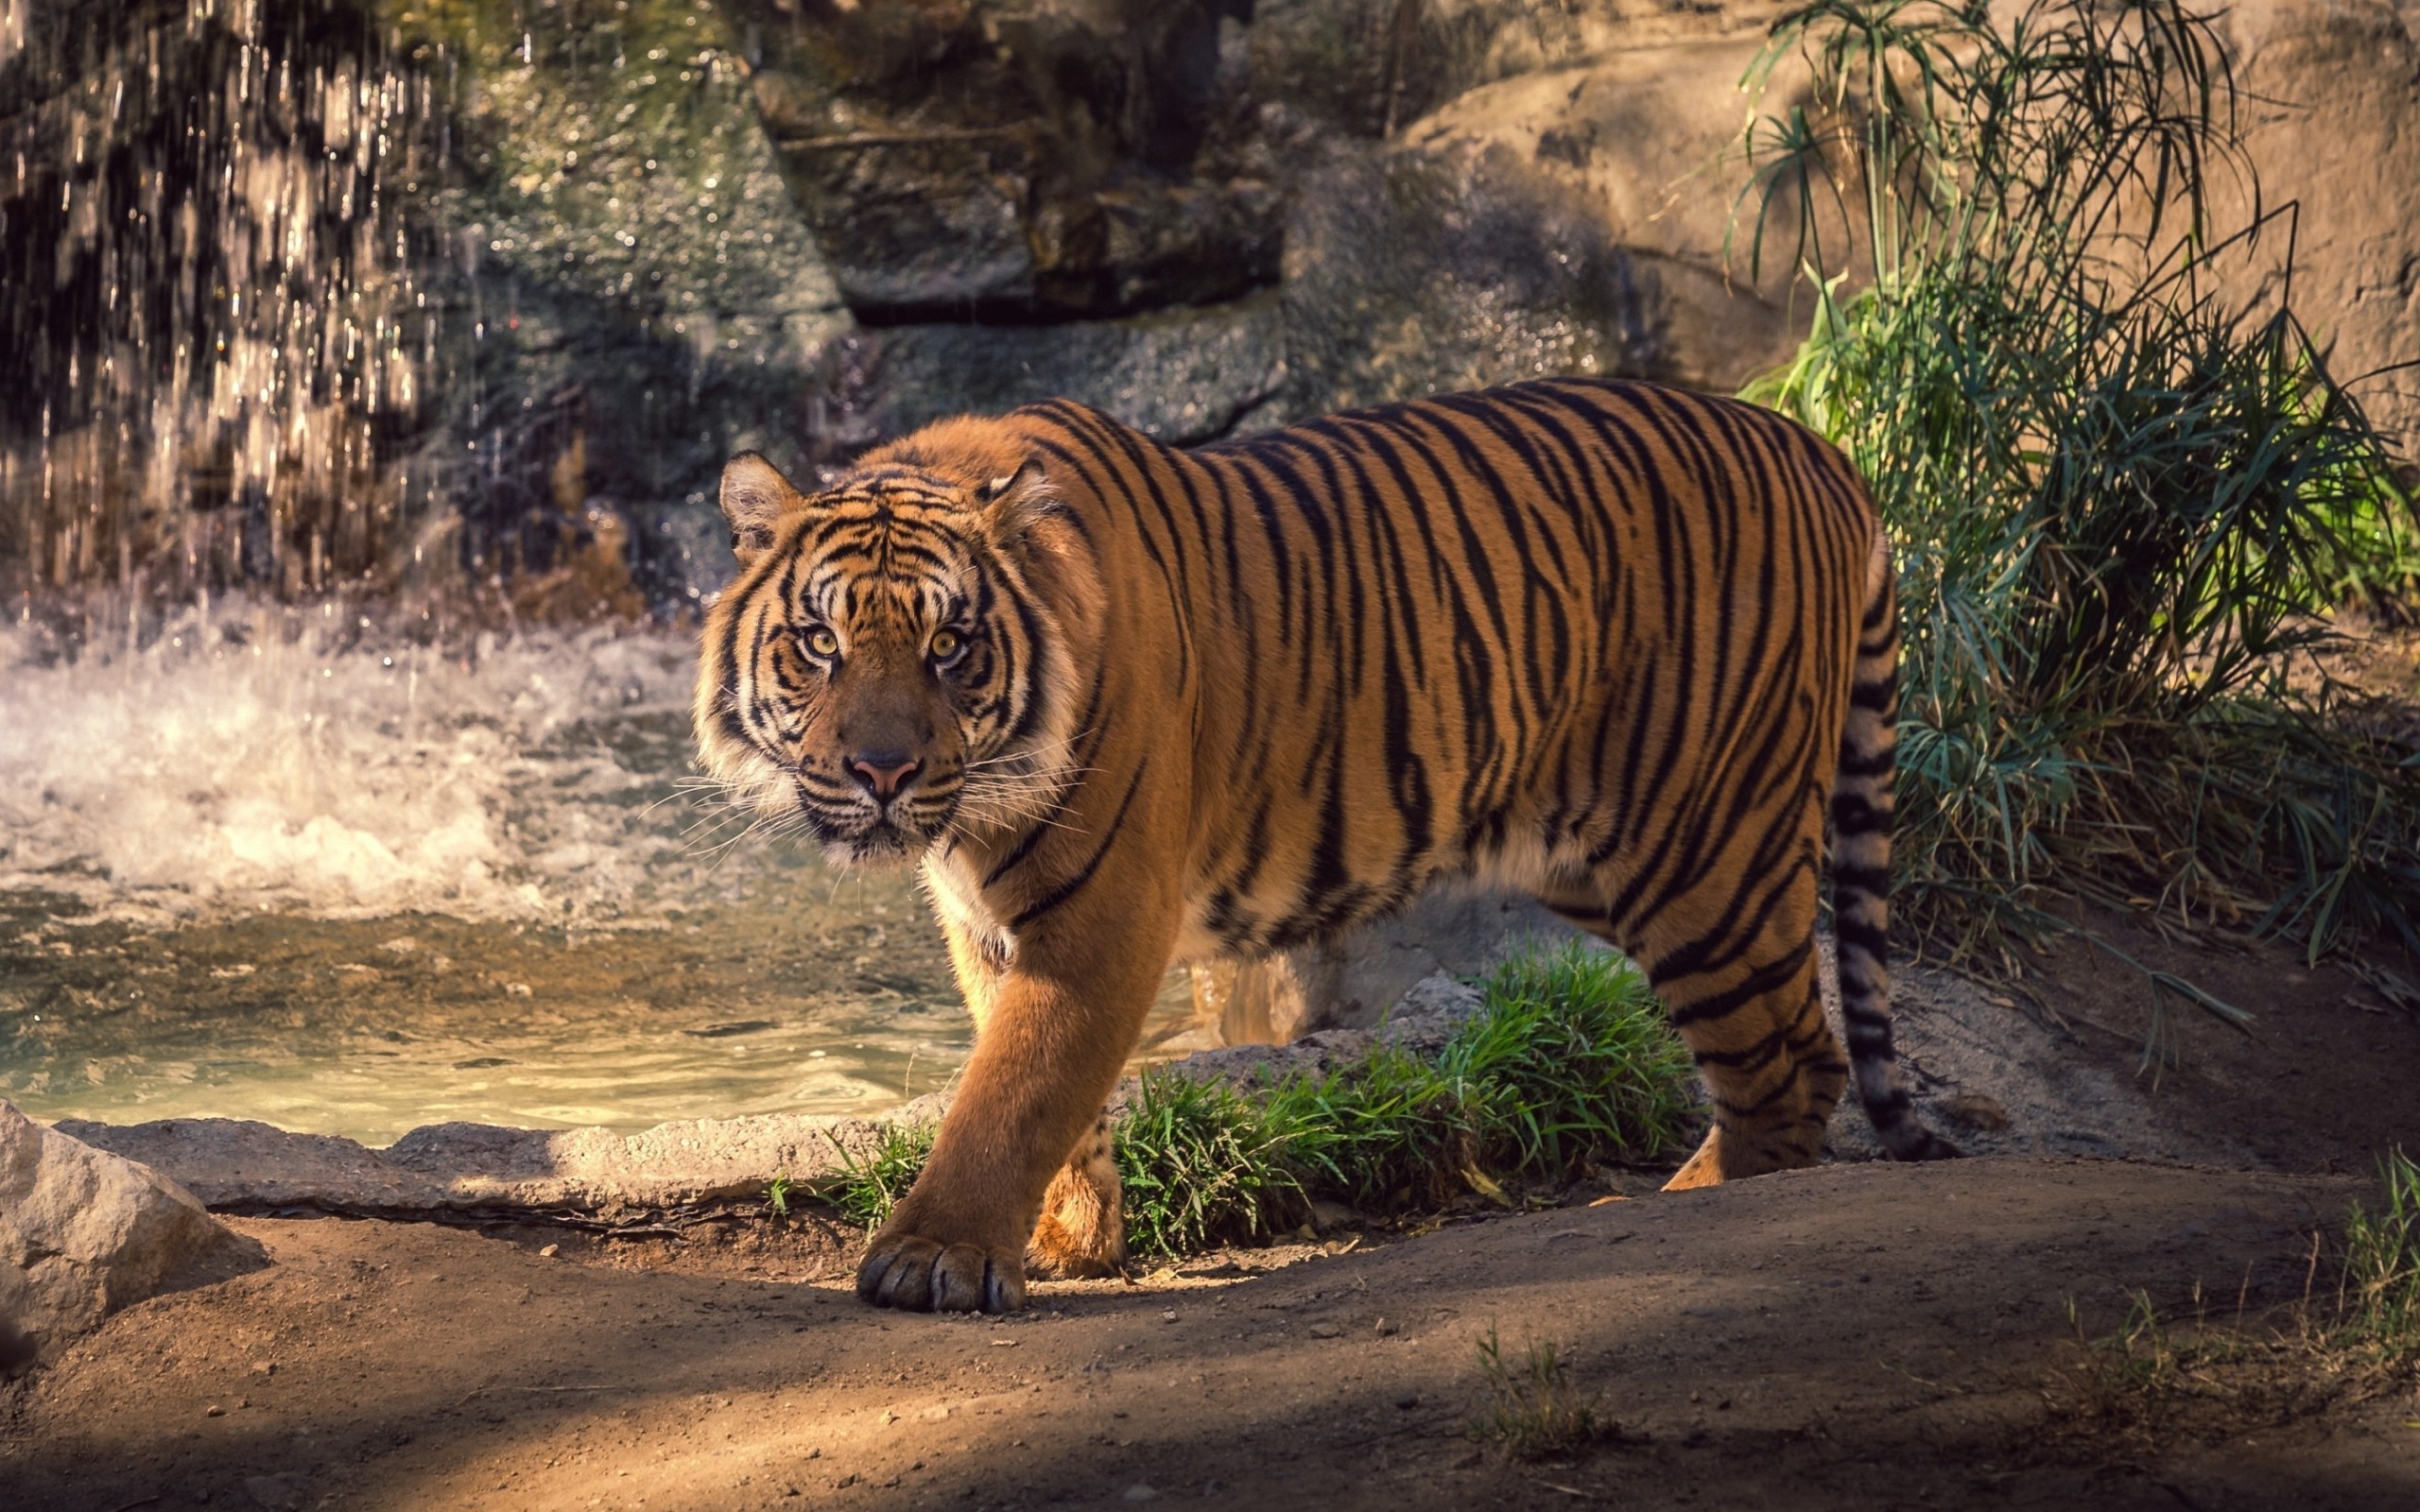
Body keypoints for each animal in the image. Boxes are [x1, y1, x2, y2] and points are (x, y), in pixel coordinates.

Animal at [694, 376, 1958, 1314]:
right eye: (819, 641)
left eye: (950, 644)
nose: (883, 772)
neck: (978, 804)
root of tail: (1817, 446)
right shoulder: (986, 922)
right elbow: (1038, 1078)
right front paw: (1070, 1236)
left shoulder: (1101, 912)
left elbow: (1012, 1083)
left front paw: (937, 1257)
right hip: (1599, 850)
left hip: (1707, 849)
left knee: (1789, 1064)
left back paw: (1674, 1205)